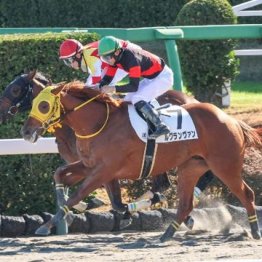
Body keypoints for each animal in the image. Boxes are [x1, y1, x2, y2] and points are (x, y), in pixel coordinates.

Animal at [22, 82, 262, 242]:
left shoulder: (104, 170)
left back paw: (254, 231)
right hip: (191, 167)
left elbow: (79, 194)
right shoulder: (90, 166)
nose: (26, 131)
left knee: (247, 194)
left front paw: (49, 224)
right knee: (186, 203)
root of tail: (232, 120)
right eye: (33, 103)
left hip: (225, 166)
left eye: (43, 106)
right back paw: (167, 234)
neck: (99, 124)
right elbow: (60, 174)